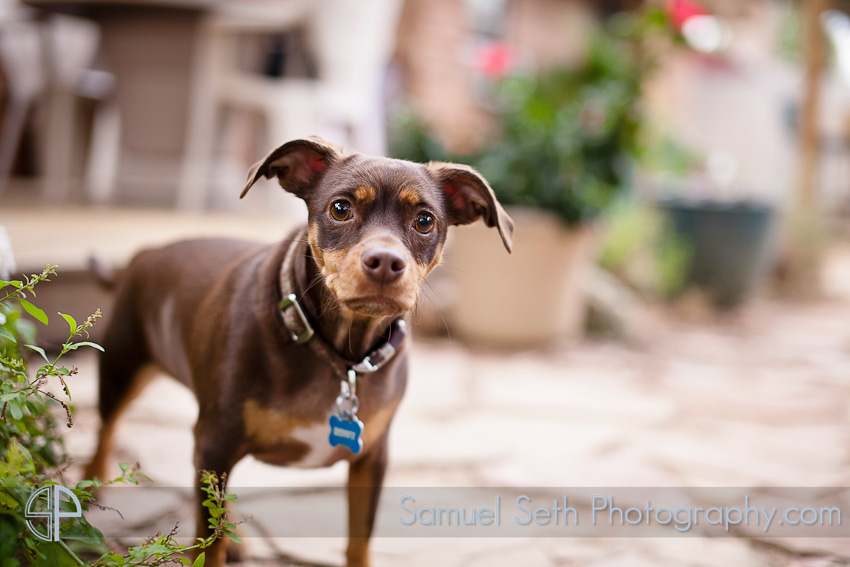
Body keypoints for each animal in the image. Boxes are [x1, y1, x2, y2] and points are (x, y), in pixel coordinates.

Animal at [84, 138, 510, 567]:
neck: (339, 355)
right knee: (107, 429)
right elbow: (208, 546)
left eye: (424, 221)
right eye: (340, 209)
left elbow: (359, 541)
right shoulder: (218, 442)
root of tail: (143, 255)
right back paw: (89, 489)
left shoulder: (371, 459)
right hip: (121, 369)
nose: (386, 262)